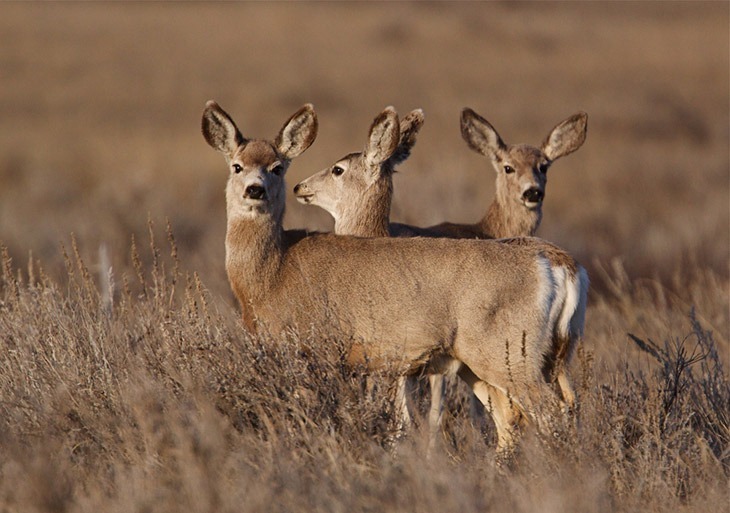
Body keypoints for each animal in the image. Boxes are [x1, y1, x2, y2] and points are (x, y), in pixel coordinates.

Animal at [202, 101, 584, 452]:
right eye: (237, 166)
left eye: (277, 167)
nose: (255, 189)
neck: (272, 272)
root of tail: (561, 265)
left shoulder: (313, 348)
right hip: (512, 359)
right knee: (519, 418)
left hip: (510, 351)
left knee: (549, 414)